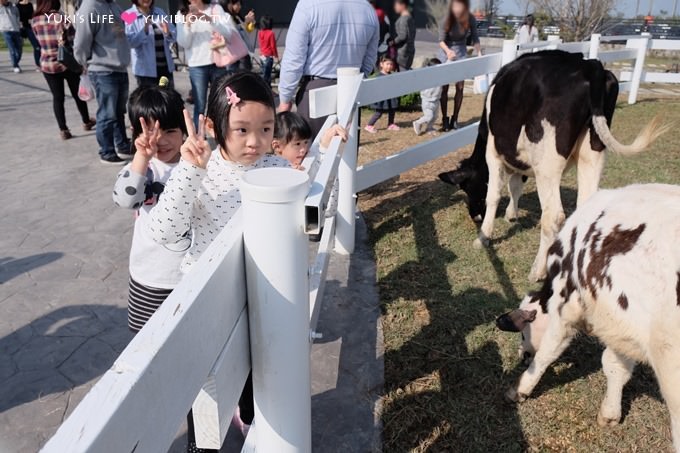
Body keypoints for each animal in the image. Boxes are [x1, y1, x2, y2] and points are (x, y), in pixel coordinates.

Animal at [438, 51, 668, 280]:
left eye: (468, 187)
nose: (475, 216)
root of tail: (590, 65)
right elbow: (516, 185)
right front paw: (511, 214)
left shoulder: (493, 153)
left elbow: (494, 194)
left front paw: (483, 236)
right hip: (592, 151)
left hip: (547, 162)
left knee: (553, 215)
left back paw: (537, 270)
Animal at [494, 183, 680, 448]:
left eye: (522, 334)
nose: (522, 356)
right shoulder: (618, 322)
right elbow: (614, 365)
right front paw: (610, 414)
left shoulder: (565, 309)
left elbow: (547, 353)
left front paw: (519, 389)